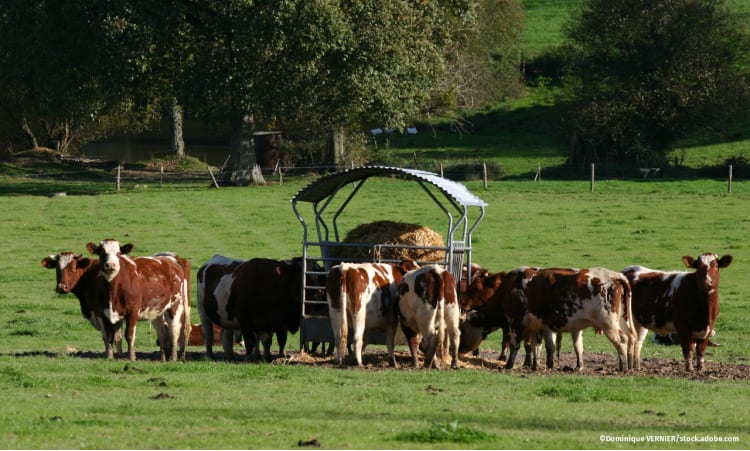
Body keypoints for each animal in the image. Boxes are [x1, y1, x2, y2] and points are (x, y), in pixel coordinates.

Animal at [468, 266, 636, 372]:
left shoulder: (515, 322)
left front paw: (509, 365)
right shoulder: (538, 326)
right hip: (622, 322)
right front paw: (535, 366)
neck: (509, 289)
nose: (463, 349)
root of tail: (614, 276)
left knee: (621, 343)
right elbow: (538, 346)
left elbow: (516, 345)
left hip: (608, 324)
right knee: (628, 339)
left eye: (464, 328)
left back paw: (623, 367)